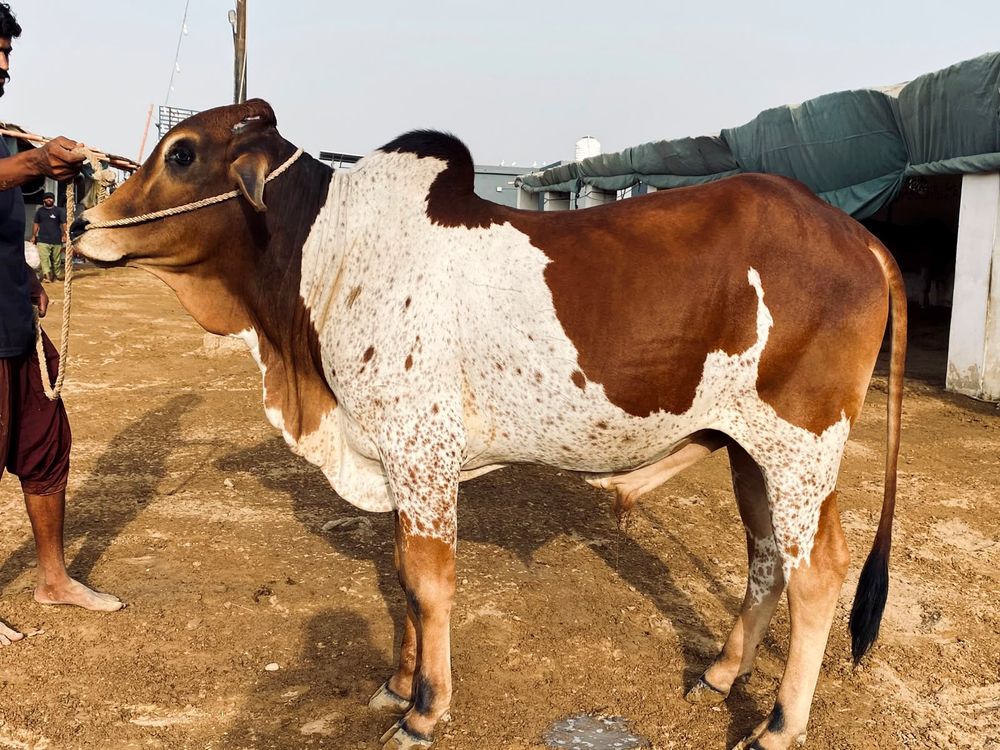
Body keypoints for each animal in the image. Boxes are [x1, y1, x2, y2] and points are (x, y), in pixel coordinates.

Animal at [71, 99, 905, 750]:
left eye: (181, 152)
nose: (83, 221)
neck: (326, 255)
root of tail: (857, 236)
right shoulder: (395, 457)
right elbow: (401, 578)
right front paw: (397, 681)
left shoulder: (423, 452)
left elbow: (428, 582)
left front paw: (424, 710)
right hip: (748, 452)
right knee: (766, 560)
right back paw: (722, 672)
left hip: (801, 448)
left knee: (816, 574)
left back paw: (779, 724)